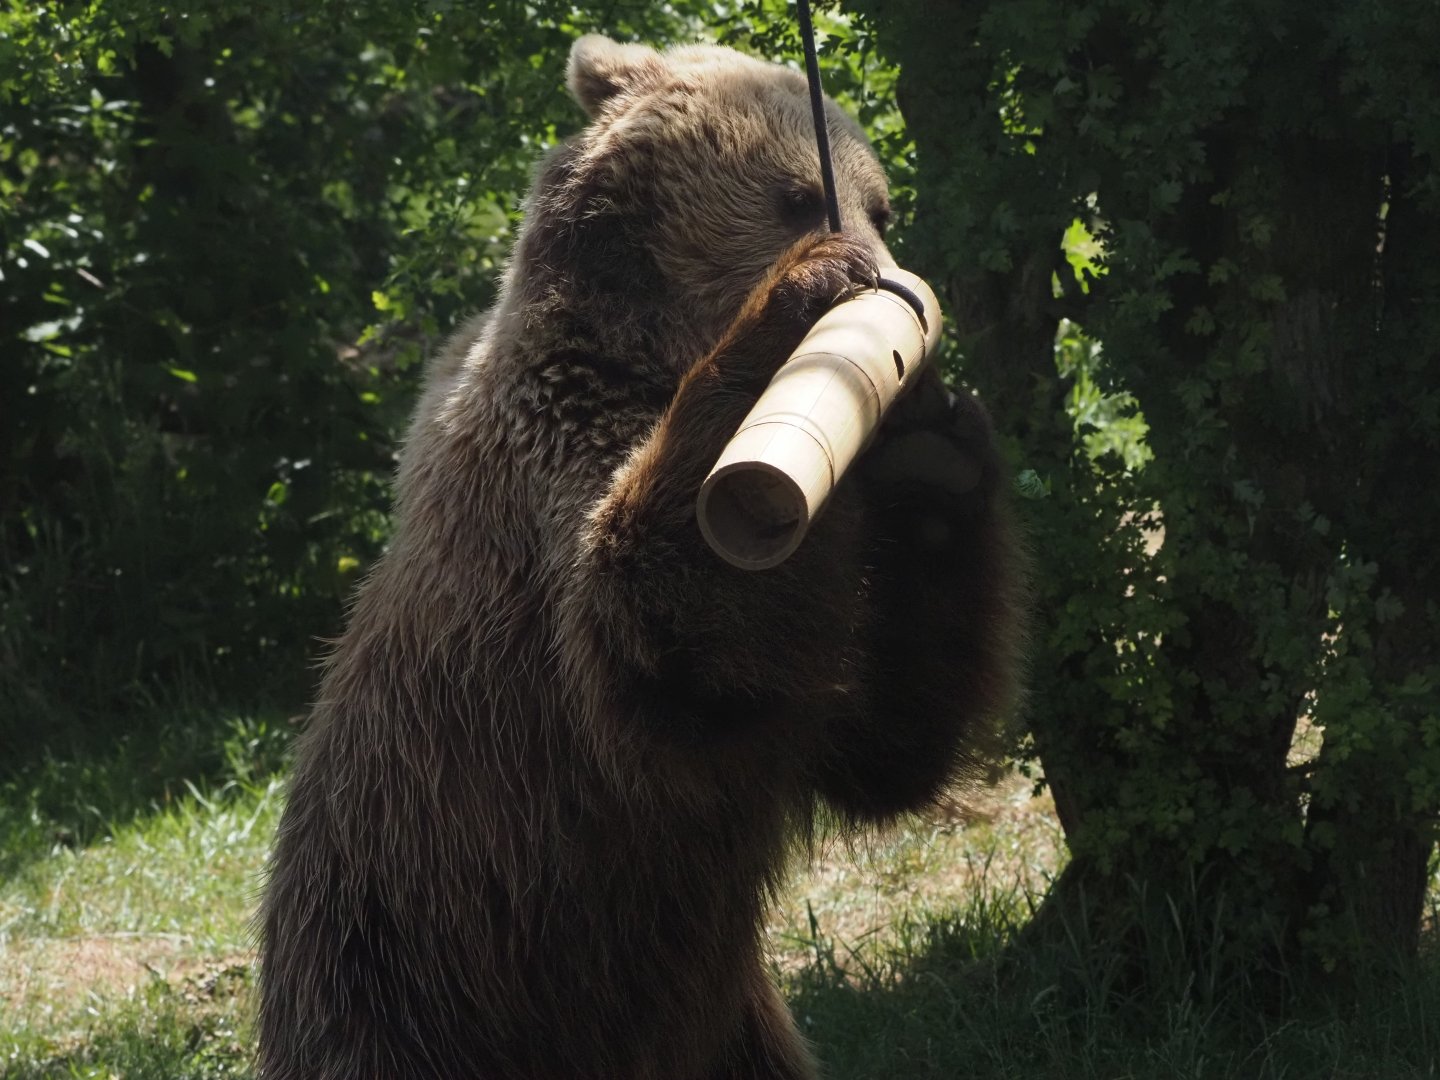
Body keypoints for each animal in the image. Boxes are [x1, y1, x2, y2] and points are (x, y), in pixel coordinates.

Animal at [257, 34, 1022, 1080]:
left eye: (883, 203)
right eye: (799, 197)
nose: (896, 276)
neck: (646, 345)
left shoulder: (800, 674)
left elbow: (881, 736)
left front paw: (935, 456)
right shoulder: (550, 485)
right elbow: (661, 630)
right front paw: (802, 297)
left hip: (727, 1030)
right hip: (414, 974)